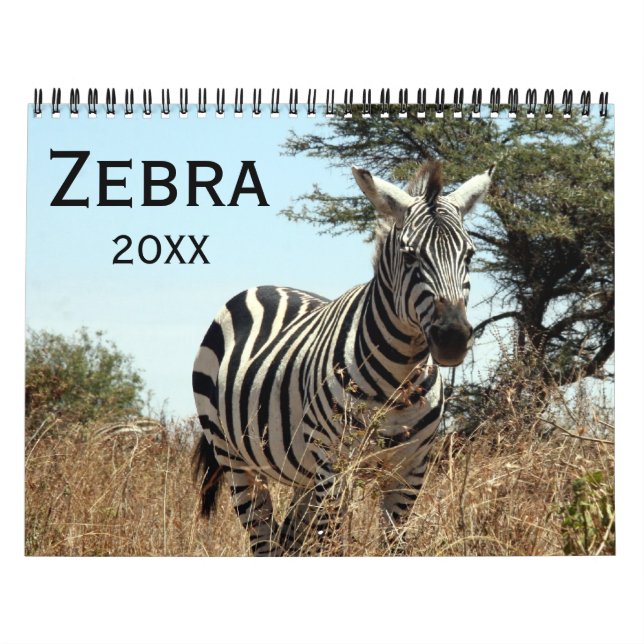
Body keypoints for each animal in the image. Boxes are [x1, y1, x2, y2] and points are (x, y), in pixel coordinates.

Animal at [192, 159, 495, 555]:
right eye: (410, 255)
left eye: (470, 255)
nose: (452, 338)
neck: (399, 379)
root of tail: (262, 287)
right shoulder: (335, 469)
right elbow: (333, 546)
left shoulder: (410, 472)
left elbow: (392, 546)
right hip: (235, 458)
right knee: (264, 537)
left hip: (304, 474)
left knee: (289, 540)